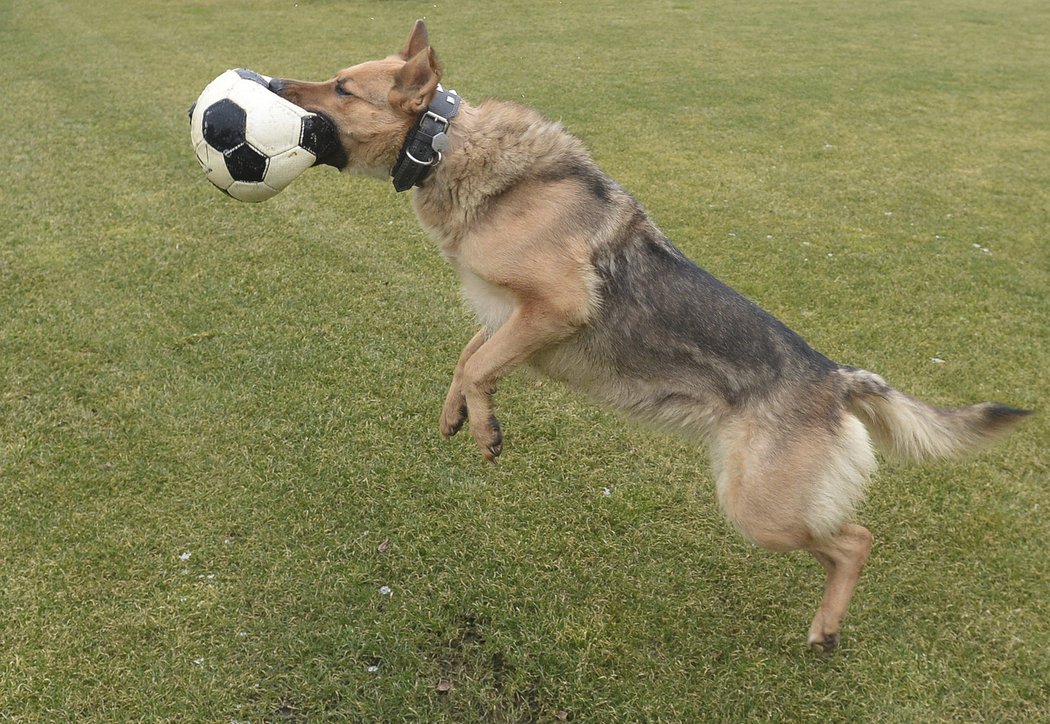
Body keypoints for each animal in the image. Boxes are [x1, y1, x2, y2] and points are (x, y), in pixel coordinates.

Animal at [266, 19, 1029, 650]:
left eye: (341, 87)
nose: (271, 85)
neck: (451, 145)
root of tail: (838, 379)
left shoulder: (553, 308)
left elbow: (480, 366)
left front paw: (485, 428)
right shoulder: (509, 319)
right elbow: (468, 359)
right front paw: (458, 414)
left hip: (761, 509)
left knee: (857, 540)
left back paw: (826, 629)